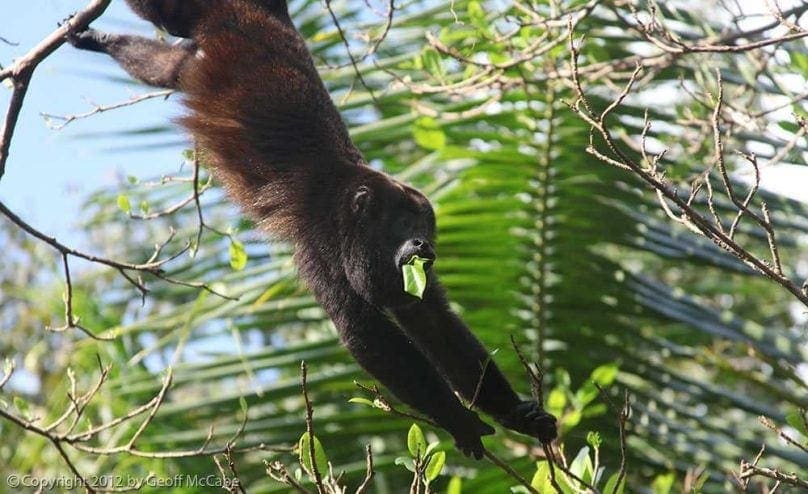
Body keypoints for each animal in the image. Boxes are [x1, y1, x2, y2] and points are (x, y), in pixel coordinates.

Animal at [68, 0, 557, 459]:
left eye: (426, 227)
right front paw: (460, 420)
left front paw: (517, 415)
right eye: (403, 222)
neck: (347, 205)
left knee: (174, 65)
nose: (423, 244)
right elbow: (365, 333)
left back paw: (104, 40)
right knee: (164, 20)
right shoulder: (320, 243)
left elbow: (433, 321)